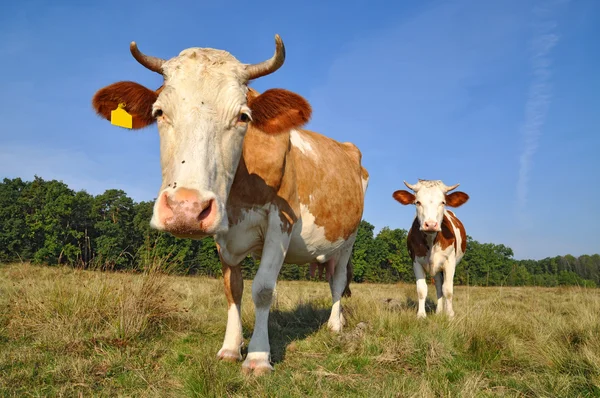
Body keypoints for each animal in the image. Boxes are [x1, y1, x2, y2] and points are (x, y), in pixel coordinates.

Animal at [91, 35, 368, 374]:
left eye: (243, 116)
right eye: (159, 112)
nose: (186, 209)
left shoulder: (281, 222)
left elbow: (262, 289)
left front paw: (258, 357)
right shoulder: (222, 232)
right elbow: (232, 288)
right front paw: (230, 349)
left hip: (348, 240)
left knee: (338, 281)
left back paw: (335, 326)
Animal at [392, 179, 472, 318]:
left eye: (443, 202)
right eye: (417, 202)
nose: (430, 224)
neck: (431, 241)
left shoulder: (449, 262)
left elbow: (448, 290)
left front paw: (450, 315)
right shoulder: (416, 262)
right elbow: (422, 290)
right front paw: (421, 315)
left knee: (443, 287)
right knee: (439, 286)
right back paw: (439, 311)